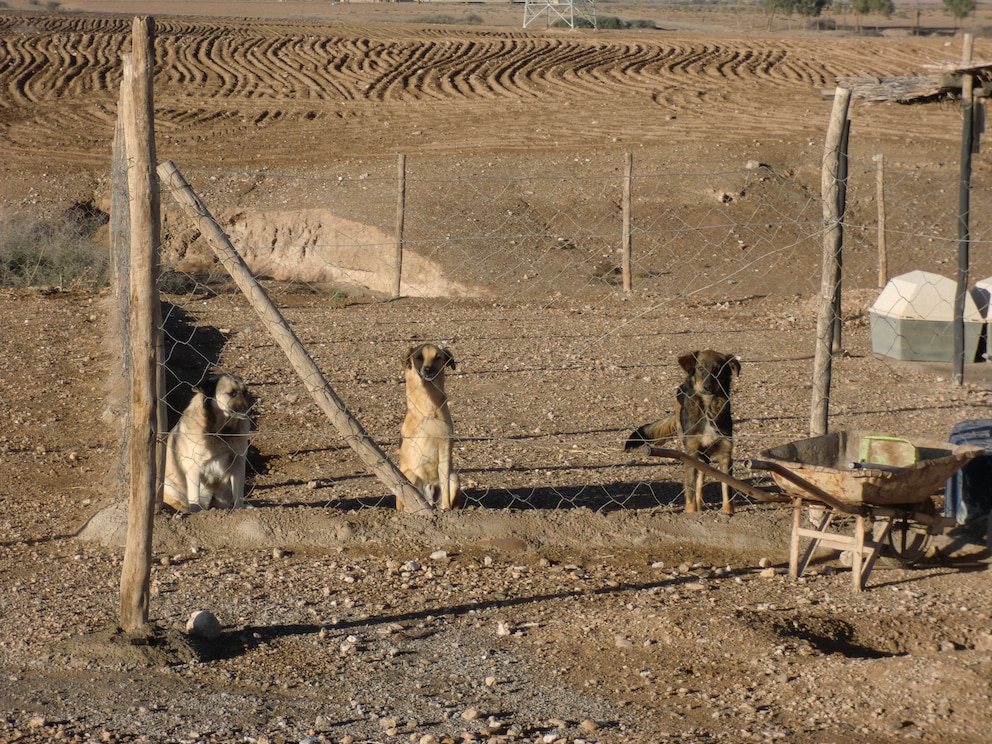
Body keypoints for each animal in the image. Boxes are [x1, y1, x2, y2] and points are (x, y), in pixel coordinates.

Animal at [164, 372, 254, 512]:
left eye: (245, 393)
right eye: (232, 393)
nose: (249, 410)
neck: (222, 432)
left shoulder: (238, 463)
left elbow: (238, 496)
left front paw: (239, 510)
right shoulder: (194, 468)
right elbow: (194, 498)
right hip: (169, 484)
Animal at [400, 344, 462, 512]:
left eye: (438, 357)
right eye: (419, 357)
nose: (427, 370)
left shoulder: (445, 450)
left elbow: (445, 490)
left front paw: (447, 510)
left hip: (454, 477)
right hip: (411, 476)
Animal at [624, 352, 740, 516]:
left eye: (718, 370)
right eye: (700, 368)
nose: (708, 387)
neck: (707, 408)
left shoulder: (725, 452)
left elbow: (727, 488)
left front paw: (728, 512)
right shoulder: (691, 453)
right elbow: (690, 489)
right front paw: (691, 511)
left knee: (702, 476)